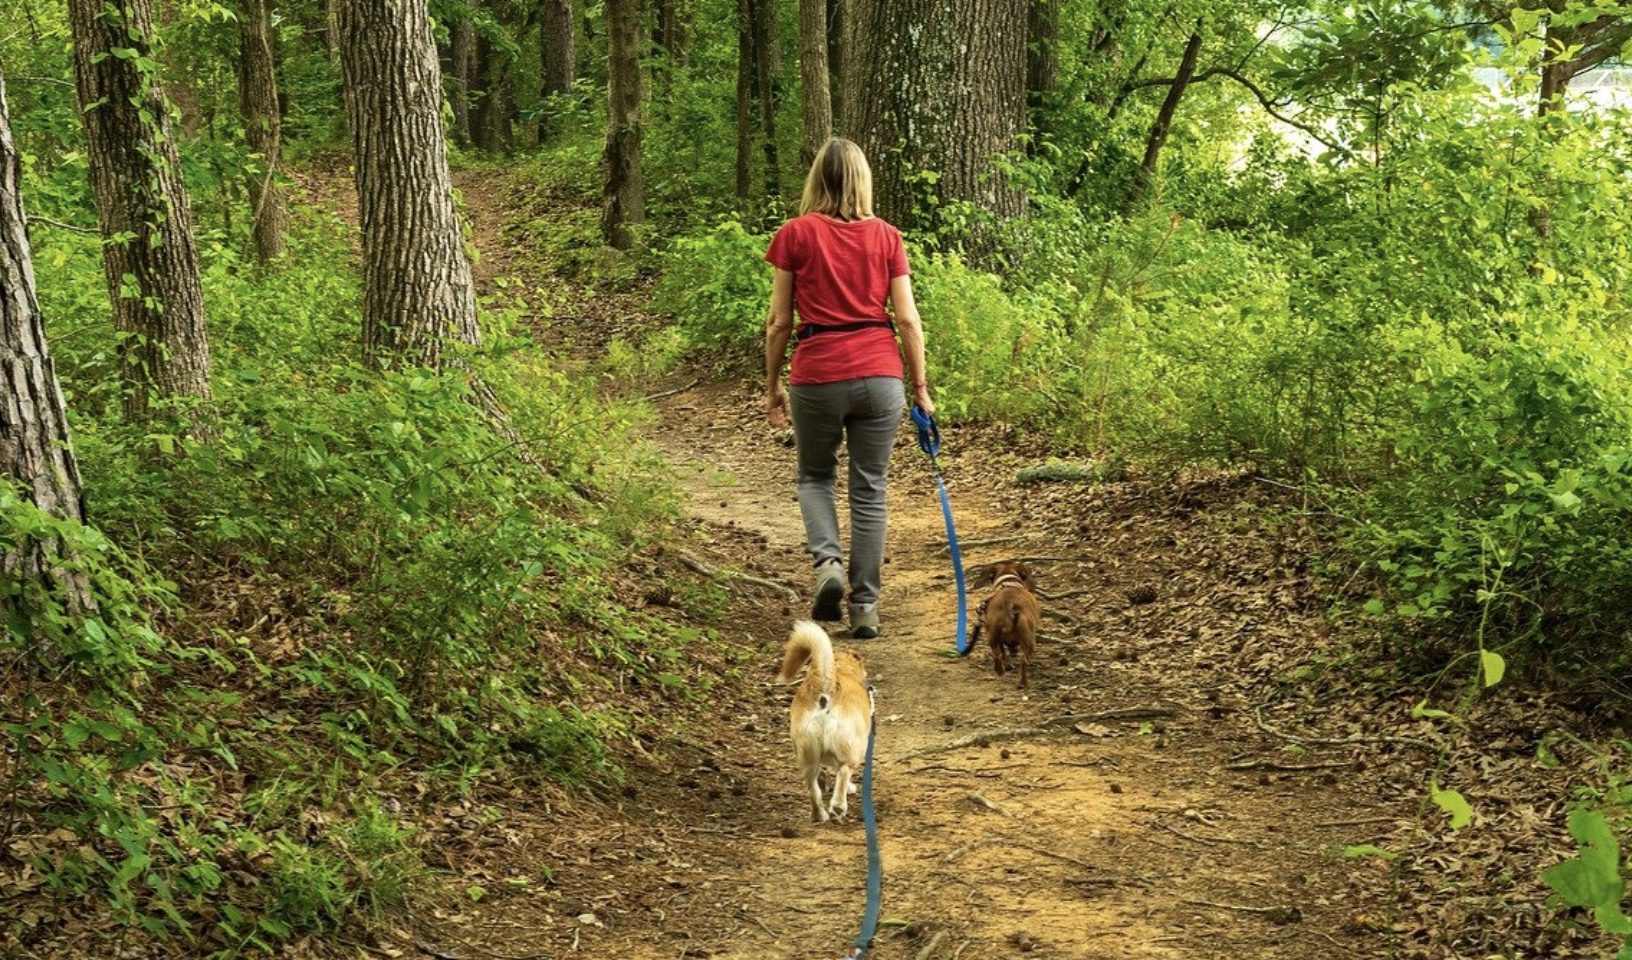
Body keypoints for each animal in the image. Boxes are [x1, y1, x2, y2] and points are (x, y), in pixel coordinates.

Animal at [780, 623, 874, 826]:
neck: (840, 669)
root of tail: (825, 681)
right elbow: (840, 772)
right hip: (853, 749)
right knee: (844, 771)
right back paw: (838, 806)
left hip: (807, 756)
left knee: (812, 787)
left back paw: (819, 815)